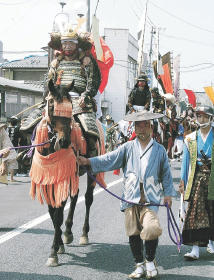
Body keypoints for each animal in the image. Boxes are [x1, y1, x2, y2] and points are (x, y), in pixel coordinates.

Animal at [28, 80, 105, 266]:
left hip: (91, 169)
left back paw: (83, 234)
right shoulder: (48, 179)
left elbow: (58, 213)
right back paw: (68, 232)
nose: (64, 141)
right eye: (51, 105)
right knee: (75, 196)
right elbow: (53, 211)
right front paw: (59, 245)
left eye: (70, 107)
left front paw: (53, 252)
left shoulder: (62, 176)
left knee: (88, 199)